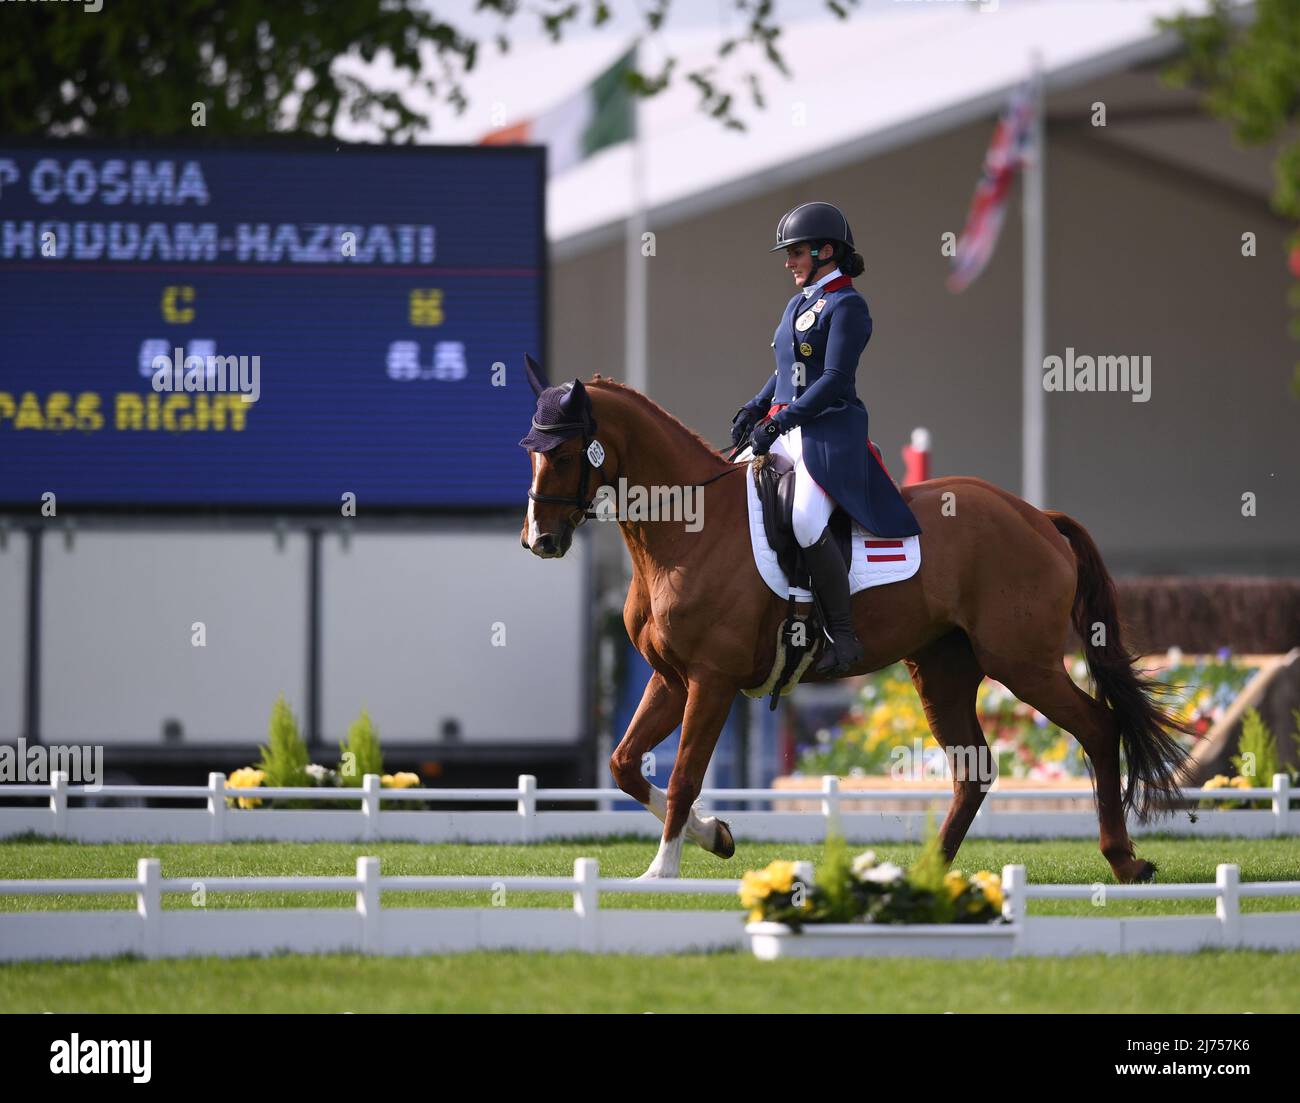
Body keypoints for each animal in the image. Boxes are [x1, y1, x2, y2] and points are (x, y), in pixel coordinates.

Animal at [517, 356, 1190, 884]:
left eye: (565, 452)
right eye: (531, 452)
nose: (539, 541)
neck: (689, 528)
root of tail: (1036, 516)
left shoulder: (712, 680)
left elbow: (683, 774)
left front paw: (662, 871)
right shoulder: (672, 678)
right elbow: (624, 765)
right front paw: (718, 836)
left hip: (1023, 663)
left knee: (1099, 728)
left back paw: (1125, 861)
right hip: (943, 669)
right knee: (973, 769)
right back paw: (927, 872)